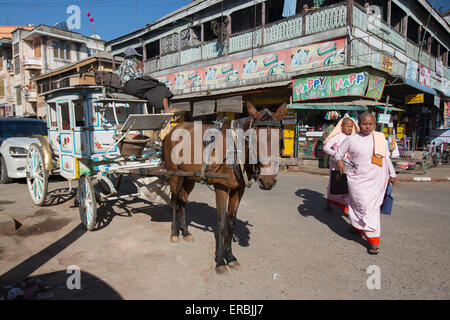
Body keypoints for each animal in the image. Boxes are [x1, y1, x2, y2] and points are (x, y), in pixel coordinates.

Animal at [163, 101, 286, 274]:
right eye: (253, 139)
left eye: (280, 139)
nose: (267, 181)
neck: (235, 150)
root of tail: (172, 131)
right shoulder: (221, 188)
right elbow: (221, 223)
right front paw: (220, 260)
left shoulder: (238, 190)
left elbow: (231, 222)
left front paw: (230, 257)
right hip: (174, 175)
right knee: (175, 201)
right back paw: (174, 232)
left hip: (189, 177)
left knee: (183, 200)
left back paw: (185, 231)